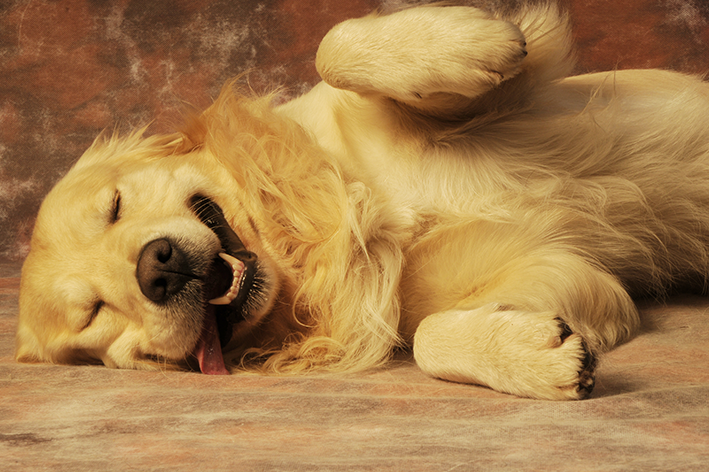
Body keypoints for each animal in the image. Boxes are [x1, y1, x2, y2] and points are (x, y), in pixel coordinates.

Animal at [15, 4, 708, 402]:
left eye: (114, 206)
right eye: (95, 316)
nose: (155, 269)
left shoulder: (518, 94)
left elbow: (334, 47)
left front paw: (472, 40)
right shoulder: (561, 268)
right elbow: (429, 338)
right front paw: (533, 356)